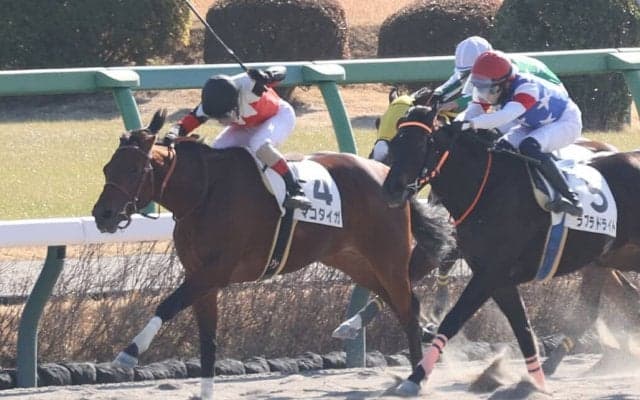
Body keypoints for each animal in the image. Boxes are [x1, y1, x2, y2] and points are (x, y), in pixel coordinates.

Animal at [91, 109, 456, 400]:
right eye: (107, 168)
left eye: (134, 171)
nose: (102, 215)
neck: (205, 193)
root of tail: (388, 178)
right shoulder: (203, 279)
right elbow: (207, 339)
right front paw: (205, 391)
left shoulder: (215, 271)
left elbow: (166, 304)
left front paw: (129, 353)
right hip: (353, 260)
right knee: (401, 304)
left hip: (387, 257)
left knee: (407, 308)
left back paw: (416, 378)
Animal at [336, 87, 636, 376]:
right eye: (382, 123)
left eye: (424, 142)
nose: (389, 186)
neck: (486, 184)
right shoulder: (458, 251)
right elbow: (405, 278)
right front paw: (354, 323)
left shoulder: (487, 266)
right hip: (608, 257)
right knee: (619, 297)